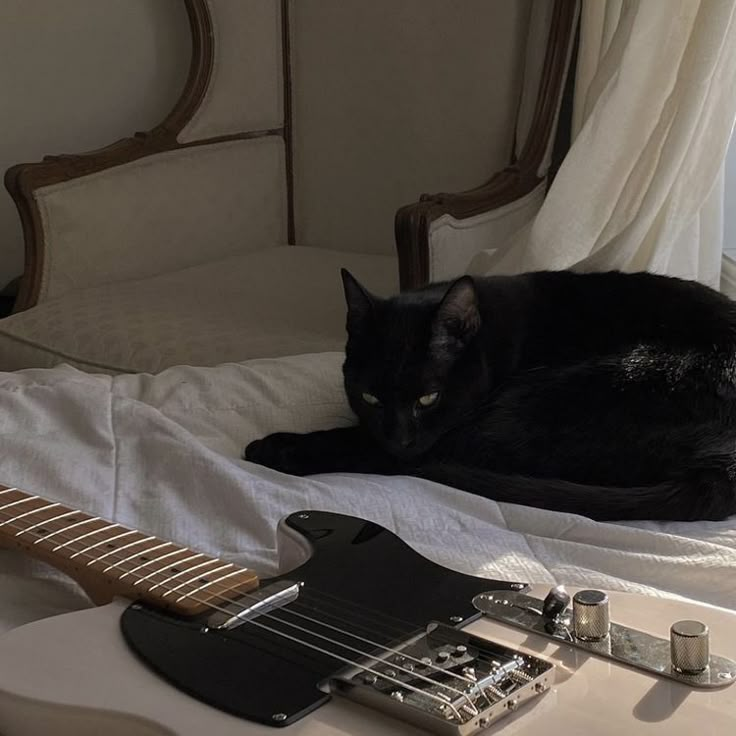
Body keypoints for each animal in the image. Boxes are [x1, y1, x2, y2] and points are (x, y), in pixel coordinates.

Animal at [246, 270, 736, 524]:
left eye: (429, 399)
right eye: (370, 397)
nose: (400, 438)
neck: (495, 335)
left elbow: (355, 441)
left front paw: (279, 446)